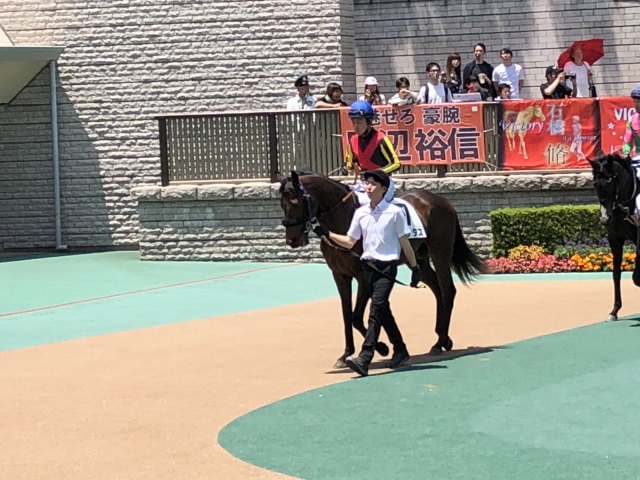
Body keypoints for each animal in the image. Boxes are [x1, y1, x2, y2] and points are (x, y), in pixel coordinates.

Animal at [278, 171, 490, 368]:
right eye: (281, 203)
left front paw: (382, 347)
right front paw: (346, 354)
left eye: (296, 200)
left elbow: (357, 316)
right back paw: (442, 339)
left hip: (440, 253)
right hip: (419, 261)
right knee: (438, 291)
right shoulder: (340, 275)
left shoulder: (363, 276)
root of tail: (443, 201)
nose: (292, 241)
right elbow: (347, 315)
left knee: (448, 290)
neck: (344, 220)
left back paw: (439, 342)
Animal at [589, 153, 640, 321]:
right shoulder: (615, 239)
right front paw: (614, 311)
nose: (606, 217)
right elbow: (616, 274)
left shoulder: (638, 237)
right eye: (595, 183)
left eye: (609, 181)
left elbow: (636, 275)